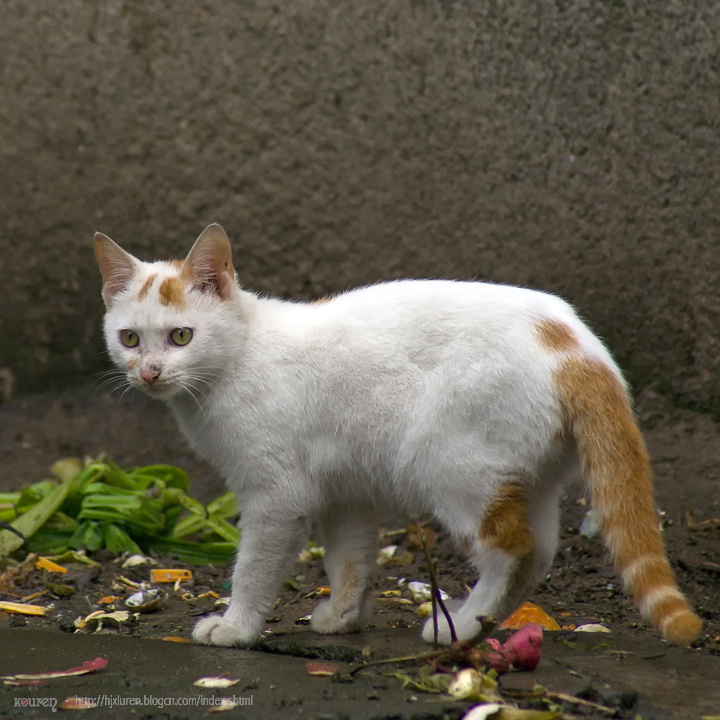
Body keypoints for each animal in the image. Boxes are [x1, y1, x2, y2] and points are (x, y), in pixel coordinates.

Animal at [93, 224, 700, 648]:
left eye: (181, 336)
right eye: (129, 338)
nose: (149, 372)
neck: (240, 355)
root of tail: (577, 345)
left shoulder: (276, 497)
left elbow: (255, 569)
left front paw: (236, 627)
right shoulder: (343, 489)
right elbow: (351, 560)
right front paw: (343, 617)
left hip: (451, 467)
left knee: (512, 549)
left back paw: (456, 627)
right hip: (526, 478)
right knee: (540, 554)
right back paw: (478, 624)